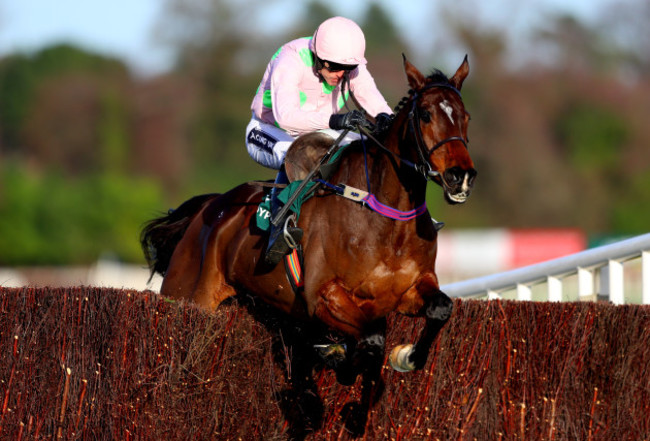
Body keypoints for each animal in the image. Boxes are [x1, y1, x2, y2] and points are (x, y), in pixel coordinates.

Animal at [142, 55, 474, 402]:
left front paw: (408, 356)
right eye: (425, 115)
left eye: (465, 116)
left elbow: (441, 308)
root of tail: (211, 207)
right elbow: (372, 338)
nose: (460, 176)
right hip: (189, 295)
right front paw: (343, 362)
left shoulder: (409, 290)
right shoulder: (324, 296)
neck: (386, 216)